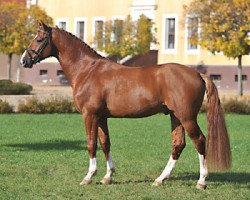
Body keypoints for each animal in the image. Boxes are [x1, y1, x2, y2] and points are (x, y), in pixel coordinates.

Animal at [20, 22, 231, 189]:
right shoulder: (101, 117)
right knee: (178, 144)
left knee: (200, 141)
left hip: (187, 117)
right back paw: (160, 179)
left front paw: (89, 177)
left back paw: (201, 181)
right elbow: (105, 143)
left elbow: (91, 144)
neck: (87, 70)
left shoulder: (89, 115)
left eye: (39, 39)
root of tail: (197, 74)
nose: (24, 60)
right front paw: (107, 176)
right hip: (175, 116)